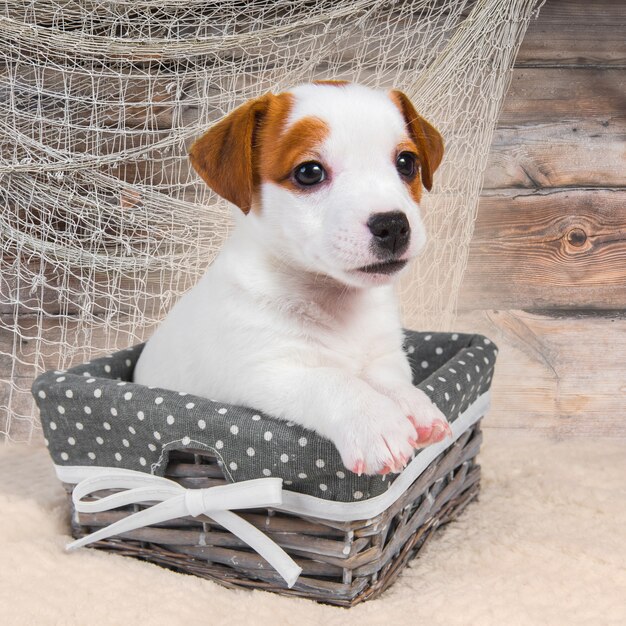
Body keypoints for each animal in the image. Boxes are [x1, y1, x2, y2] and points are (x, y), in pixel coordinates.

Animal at [135, 81, 448, 472]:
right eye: (309, 172)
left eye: (407, 163)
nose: (392, 225)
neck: (335, 300)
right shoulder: (270, 370)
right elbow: (334, 381)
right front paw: (375, 421)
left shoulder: (383, 356)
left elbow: (387, 380)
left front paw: (413, 403)